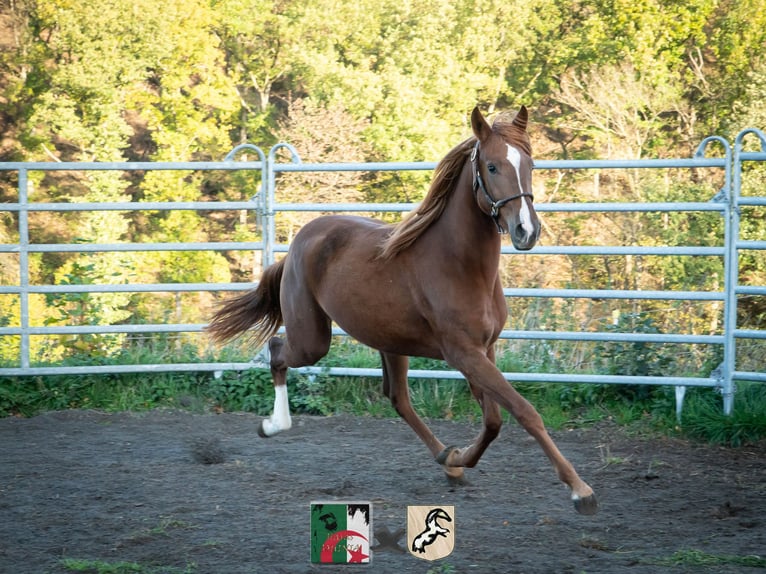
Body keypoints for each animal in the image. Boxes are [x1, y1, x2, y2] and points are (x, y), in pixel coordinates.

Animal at [208, 108, 600, 516]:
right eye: (492, 166)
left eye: (530, 164)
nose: (527, 231)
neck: (460, 265)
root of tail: (301, 239)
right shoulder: (464, 354)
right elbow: (524, 412)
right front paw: (580, 491)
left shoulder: (484, 350)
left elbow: (493, 420)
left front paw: (457, 459)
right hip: (312, 340)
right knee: (277, 350)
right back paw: (273, 425)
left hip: (389, 343)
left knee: (397, 398)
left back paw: (446, 460)